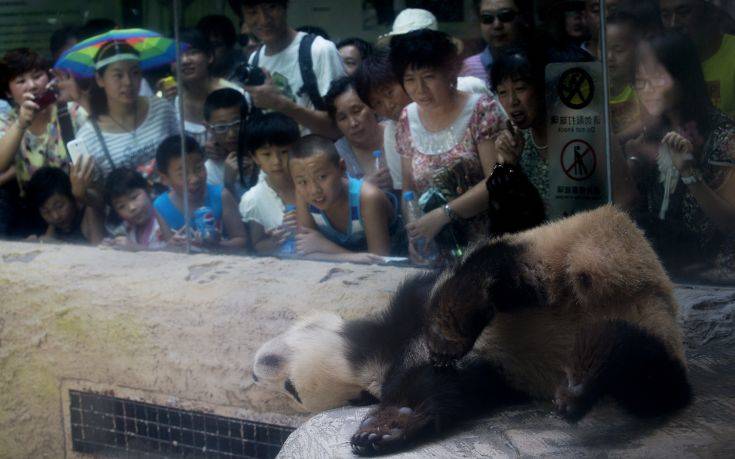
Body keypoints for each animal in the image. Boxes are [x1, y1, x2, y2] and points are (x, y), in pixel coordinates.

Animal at [252, 208, 688, 456]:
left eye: (289, 387)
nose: (256, 373)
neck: (374, 358)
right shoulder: (486, 375)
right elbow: (441, 392)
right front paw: (386, 429)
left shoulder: (409, 305)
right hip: (650, 333)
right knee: (650, 376)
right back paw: (590, 369)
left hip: (571, 241)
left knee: (502, 263)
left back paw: (452, 323)